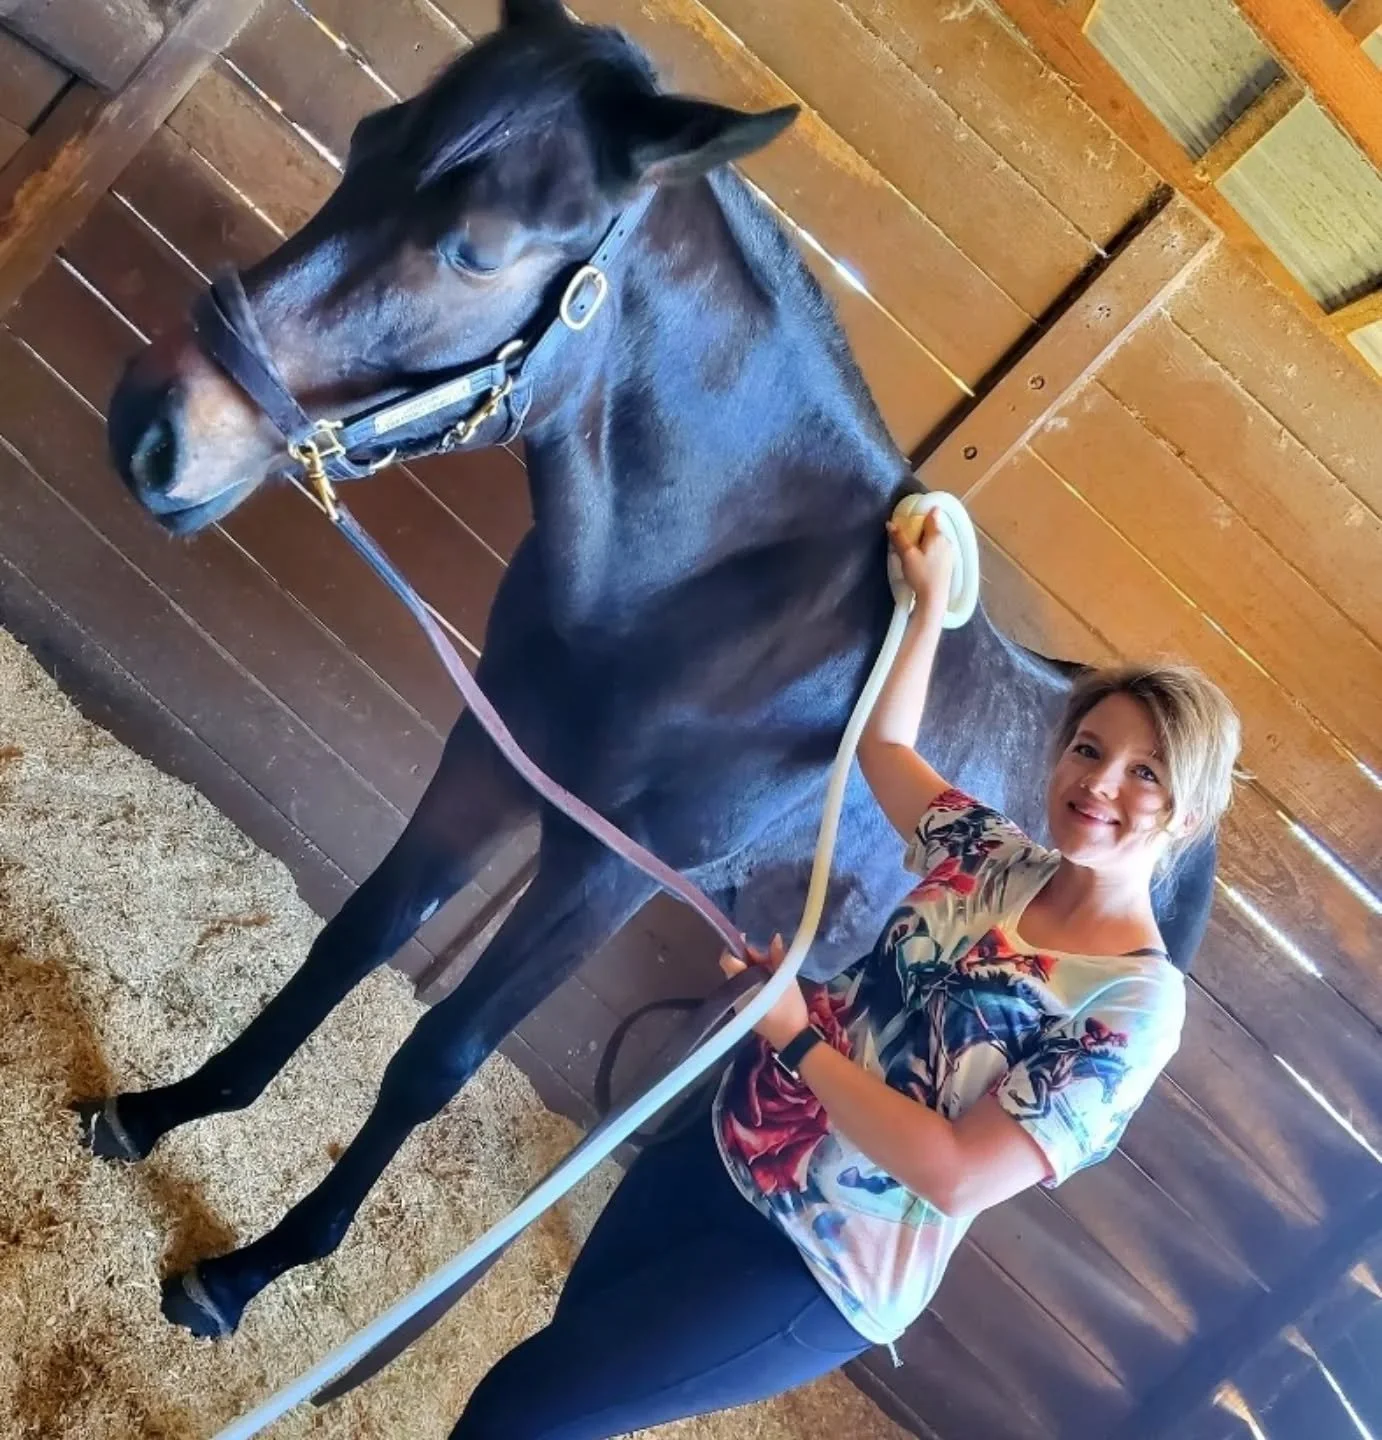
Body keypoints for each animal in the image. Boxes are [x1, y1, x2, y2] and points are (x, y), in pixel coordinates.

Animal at [94, 0, 1214, 1339]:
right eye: (367, 138)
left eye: (475, 251)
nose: (153, 427)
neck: (711, 599)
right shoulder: (485, 766)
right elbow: (349, 945)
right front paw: (162, 1112)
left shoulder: (605, 876)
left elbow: (434, 1056)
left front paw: (248, 1273)